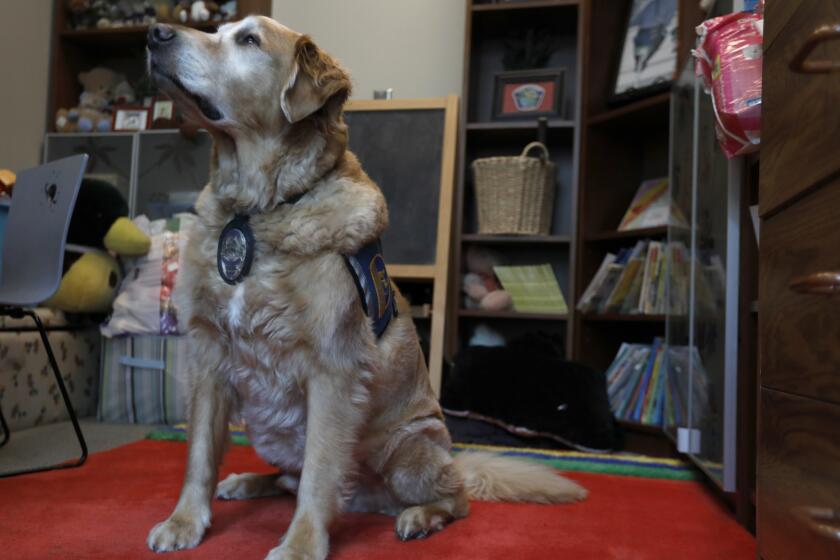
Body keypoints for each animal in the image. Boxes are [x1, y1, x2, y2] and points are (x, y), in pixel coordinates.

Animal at [146, 15, 584, 556]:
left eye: (249, 40)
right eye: (218, 30)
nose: (155, 33)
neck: (258, 209)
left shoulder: (333, 370)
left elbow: (319, 475)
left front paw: (300, 544)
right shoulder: (209, 358)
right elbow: (200, 455)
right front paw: (185, 521)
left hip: (410, 450)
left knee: (454, 500)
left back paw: (420, 516)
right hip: (273, 431)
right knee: (290, 478)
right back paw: (247, 481)